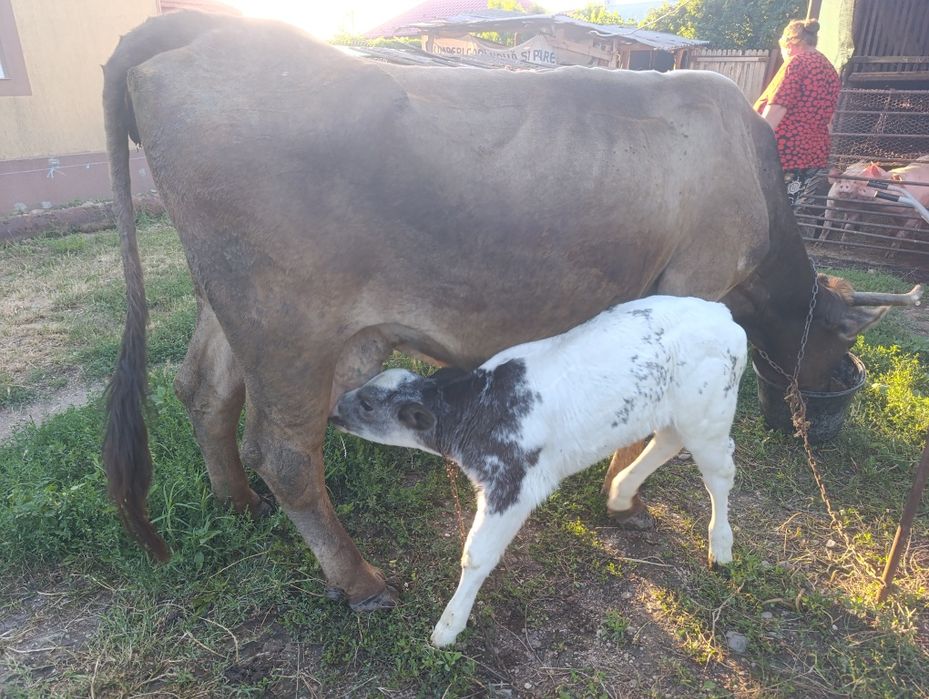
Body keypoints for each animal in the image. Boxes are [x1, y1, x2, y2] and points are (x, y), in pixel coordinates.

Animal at [331, 296, 748, 646]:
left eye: (367, 404)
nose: (334, 410)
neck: (478, 405)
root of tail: (726, 317)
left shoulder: (513, 484)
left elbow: (476, 555)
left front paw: (448, 627)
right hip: (678, 413)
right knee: (667, 440)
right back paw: (621, 492)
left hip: (709, 414)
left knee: (719, 474)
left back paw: (720, 546)